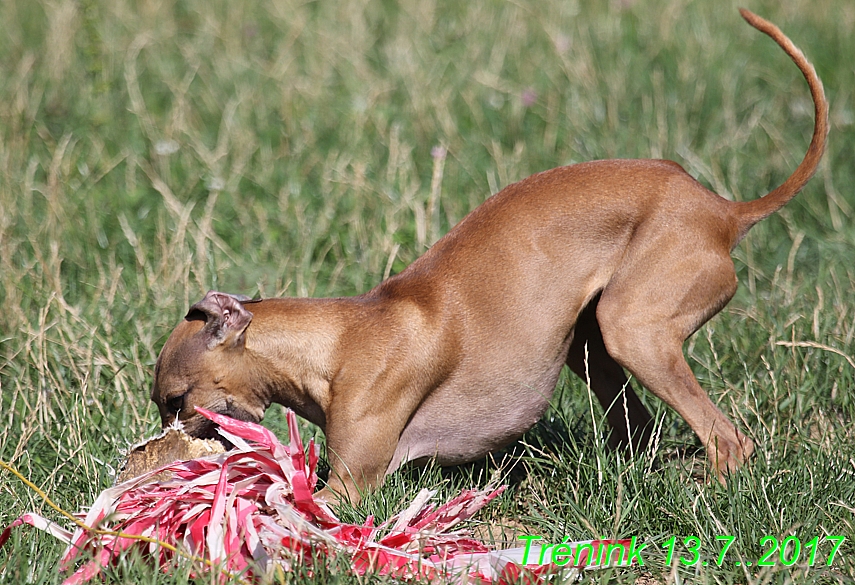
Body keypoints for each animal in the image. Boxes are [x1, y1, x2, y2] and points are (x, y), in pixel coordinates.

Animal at [150, 9, 824, 502]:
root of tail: (722, 210)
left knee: (727, 440)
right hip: (592, 344)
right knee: (639, 430)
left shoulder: (350, 485)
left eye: (173, 400)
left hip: (634, 329)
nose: (155, 454)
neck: (333, 343)